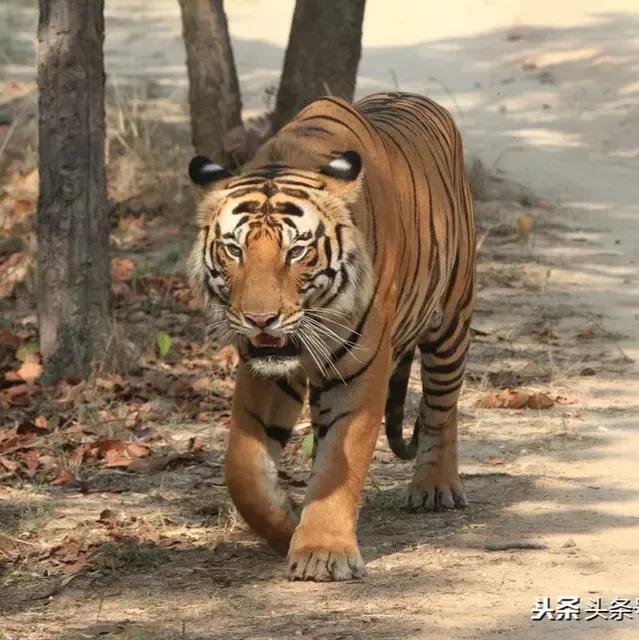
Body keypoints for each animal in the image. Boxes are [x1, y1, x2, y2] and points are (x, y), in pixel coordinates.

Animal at [188, 92, 478, 584]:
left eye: (297, 251)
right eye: (233, 249)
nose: (260, 319)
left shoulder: (360, 371)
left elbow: (339, 467)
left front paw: (321, 553)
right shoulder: (264, 372)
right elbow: (243, 468)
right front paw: (286, 526)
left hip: (451, 319)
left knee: (442, 404)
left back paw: (435, 486)